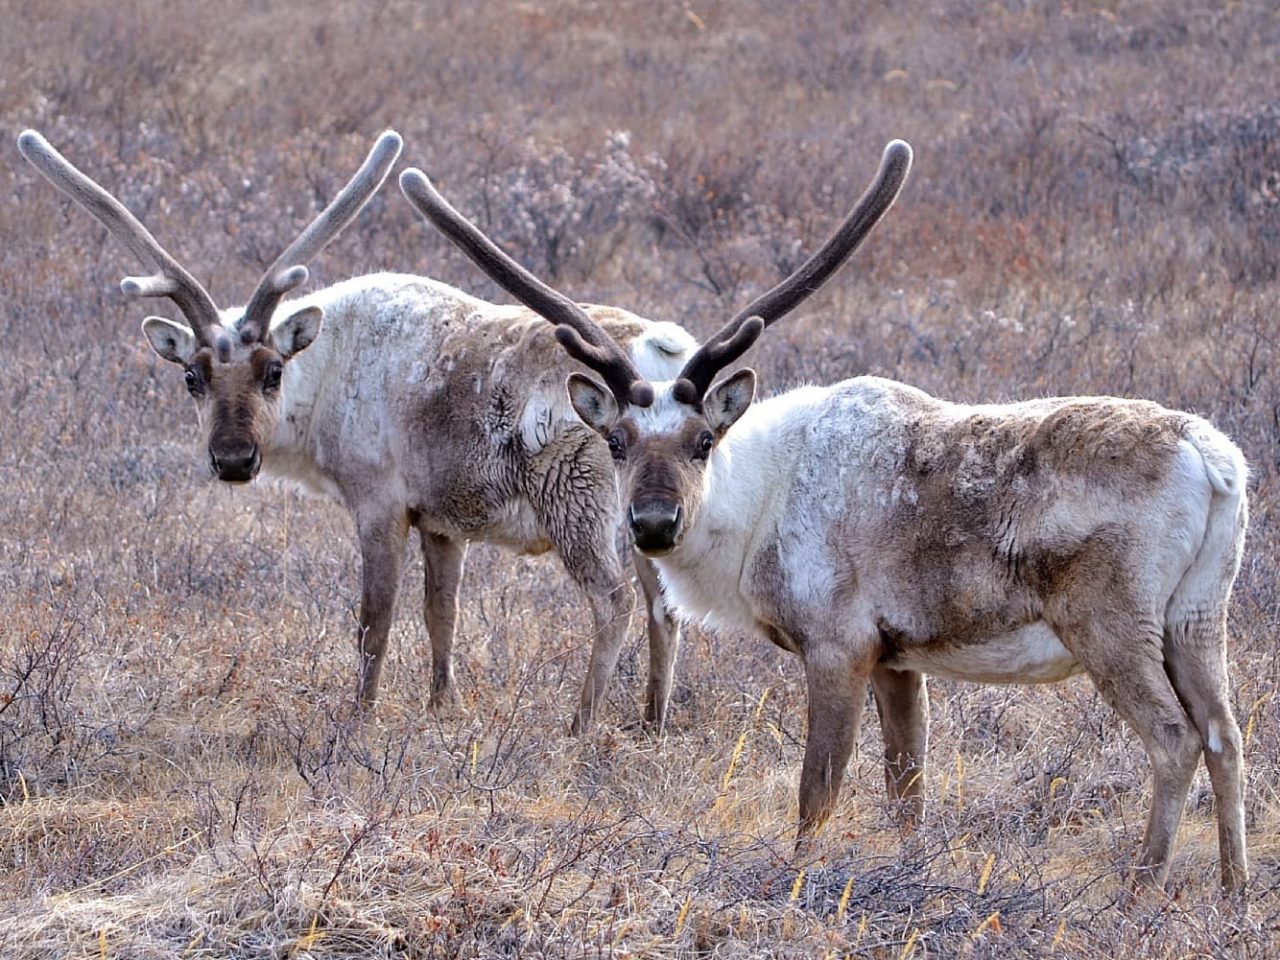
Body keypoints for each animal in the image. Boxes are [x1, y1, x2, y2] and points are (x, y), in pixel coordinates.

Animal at [17, 129, 699, 734]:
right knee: (663, 608)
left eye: (272, 371)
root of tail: (659, 349)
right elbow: (441, 613)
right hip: (645, 518)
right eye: (191, 376)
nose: (234, 459)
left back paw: (582, 724)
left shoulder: (379, 500)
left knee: (613, 602)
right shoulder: (442, 519)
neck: (324, 382)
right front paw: (442, 706)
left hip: (577, 501)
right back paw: (653, 720)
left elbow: (375, 619)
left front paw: (360, 716)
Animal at [398, 139, 1250, 894]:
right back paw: (1234, 888)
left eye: (704, 439)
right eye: (617, 441)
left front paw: (800, 878)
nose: (653, 524)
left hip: (1110, 622)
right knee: (1225, 734)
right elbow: (907, 789)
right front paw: (908, 874)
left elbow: (819, 791)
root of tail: (1216, 463)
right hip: (1198, 619)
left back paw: (1142, 887)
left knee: (1174, 737)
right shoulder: (900, 657)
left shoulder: (839, 645)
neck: (759, 513)